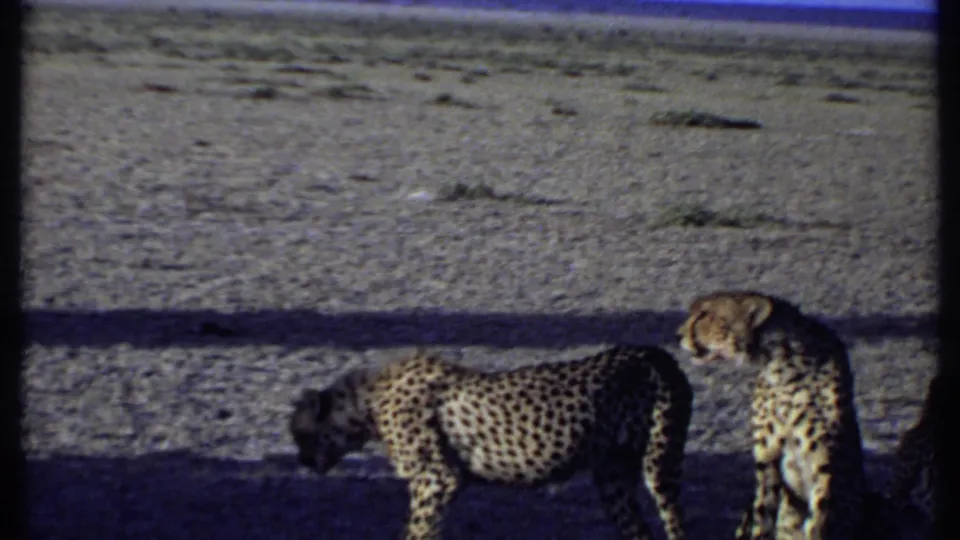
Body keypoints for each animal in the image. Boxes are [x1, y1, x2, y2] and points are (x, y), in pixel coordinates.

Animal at [289, 345, 693, 540]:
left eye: (299, 433)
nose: (303, 461)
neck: (366, 403)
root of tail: (652, 352)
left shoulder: (437, 480)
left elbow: (418, 530)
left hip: (660, 467)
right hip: (614, 480)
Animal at [675, 290, 868, 540]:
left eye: (705, 314)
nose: (677, 335)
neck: (783, 365)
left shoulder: (823, 459)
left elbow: (818, 519)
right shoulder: (767, 457)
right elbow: (763, 514)